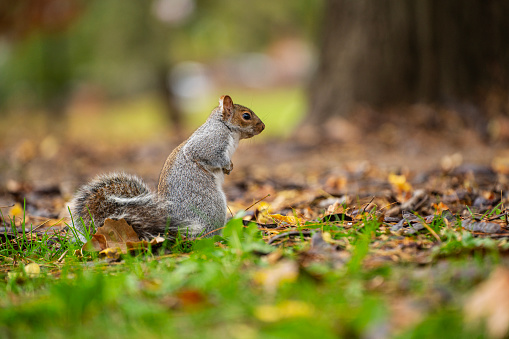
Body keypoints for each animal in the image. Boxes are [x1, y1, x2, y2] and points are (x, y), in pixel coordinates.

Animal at [69, 95, 264, 243]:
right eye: (246, 116)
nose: (262, 127)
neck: (227, 128)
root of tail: (173, 229)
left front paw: (229, 169)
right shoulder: (212, 141)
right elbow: (207, 155)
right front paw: (227, 165)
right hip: (212, 207)